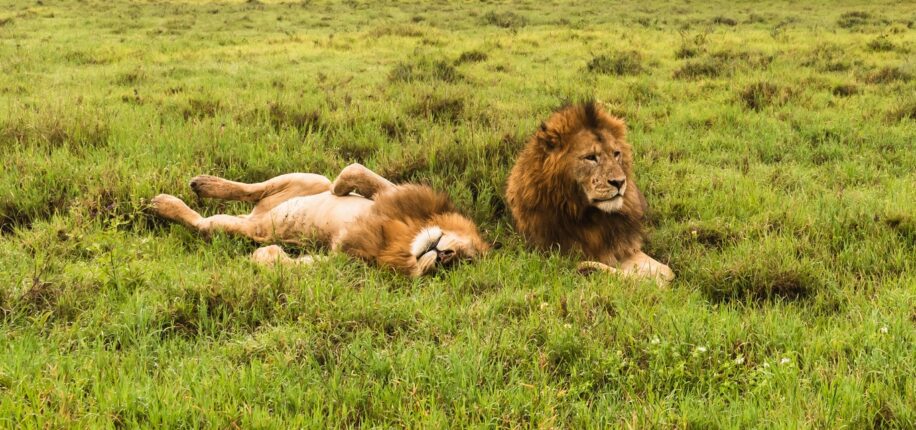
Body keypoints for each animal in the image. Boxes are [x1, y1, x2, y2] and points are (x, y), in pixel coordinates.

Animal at [152, 163, 486, 278]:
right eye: (465, 256)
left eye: (460, 264)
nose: (445, 257)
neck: (401, 237)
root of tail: (258, 213)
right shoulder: (394, 195)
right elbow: (355, 171)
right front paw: (341, 189)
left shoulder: (343, 257)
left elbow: (286, 262)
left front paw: (267, 255)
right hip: (305, 178)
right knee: (251, 188)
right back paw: (202, 184)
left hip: (240, 226)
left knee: (202, 221)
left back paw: (164, 203)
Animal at [508, 101, 672, 282]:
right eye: (591, 157)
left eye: (616, 154)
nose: (619, 182)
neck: (585, 213)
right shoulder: (554, 256)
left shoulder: (622, 246)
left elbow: (668, 271)